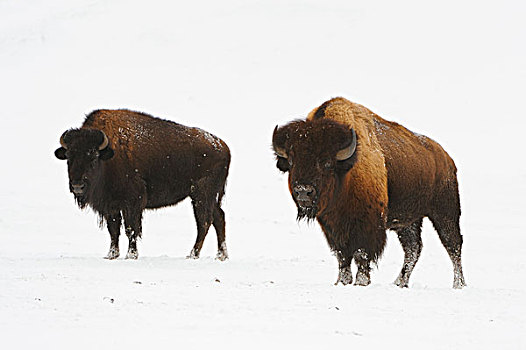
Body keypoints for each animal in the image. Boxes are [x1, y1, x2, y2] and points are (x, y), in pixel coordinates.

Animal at [54, 109, 233, 260]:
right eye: (69, 158)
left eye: (93, 158)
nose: (78, 186)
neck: (109, 155)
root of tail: (223, 147)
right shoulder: (111, 206)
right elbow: (113, 230)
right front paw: (111, 255)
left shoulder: (132, 203)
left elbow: (131, 229)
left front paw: (131, 255)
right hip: (207, 197)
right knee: (218, 218)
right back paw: (221, 256)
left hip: (202, 195)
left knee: (204, 222)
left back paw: (192, 255)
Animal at [274, 97, 468, 288]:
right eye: (291, 162)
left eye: (327, 163)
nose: (303, 192)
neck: (346, 172)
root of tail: (446, 158)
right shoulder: (332, 227)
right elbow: (342, 256)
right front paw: (342, 282)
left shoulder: (367, 224)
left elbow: (361, 254)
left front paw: (361, 282)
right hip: (408, 222)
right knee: (413, 249)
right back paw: (399, 283)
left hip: (445, 213)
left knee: (453, 246)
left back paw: (458, 284)